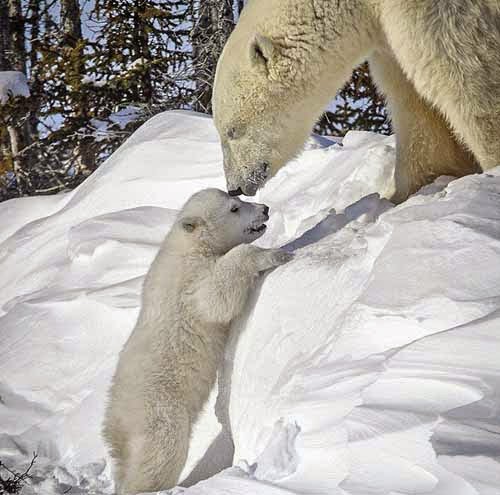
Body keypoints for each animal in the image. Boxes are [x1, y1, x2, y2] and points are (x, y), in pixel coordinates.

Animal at [212, 0, 500, 202]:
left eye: (232, 131)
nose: (234, 187)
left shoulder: (439, 11)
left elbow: (468, 74)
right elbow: (413, 105)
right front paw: (402, 195)